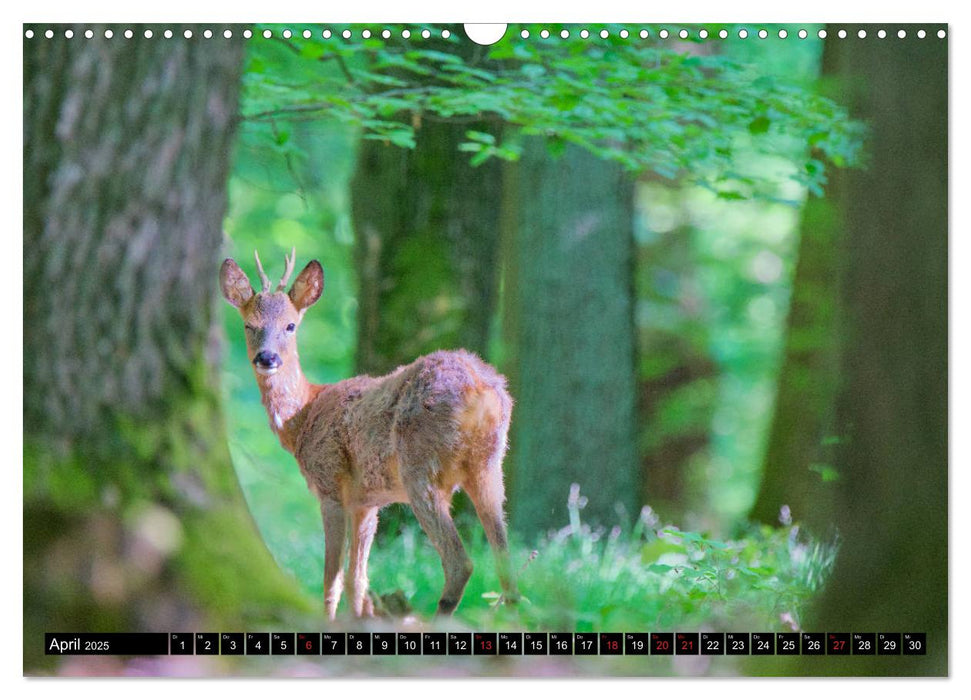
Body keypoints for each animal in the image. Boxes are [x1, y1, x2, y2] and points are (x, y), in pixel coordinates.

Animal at [220, 247, 520, 616]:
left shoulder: (330, 485)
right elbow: (358, 581)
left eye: (290, 325)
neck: (303, 415)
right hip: (489, 466)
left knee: (460, 563)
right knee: (506, 563)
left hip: (420, 469)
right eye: (249, 325)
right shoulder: (366, 502)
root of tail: (482, 389)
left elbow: (331, 580)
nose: (267, 358)